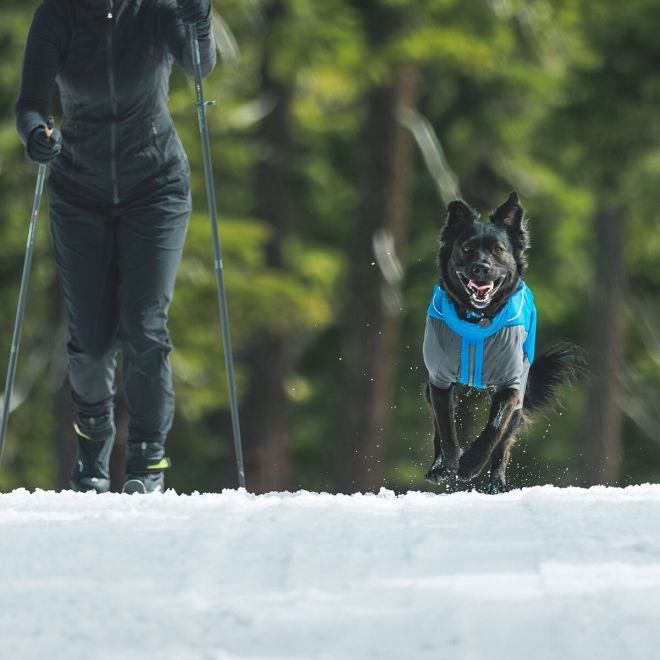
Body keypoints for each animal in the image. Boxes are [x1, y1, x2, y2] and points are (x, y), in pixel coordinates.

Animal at [422, 189, 576, 490]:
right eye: (466, 247)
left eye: (498, 250)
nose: (481, 268)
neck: (476, 320)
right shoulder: (439, 379)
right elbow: (444, 424)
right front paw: (450, 461)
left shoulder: (511, 384)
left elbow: (495, 429)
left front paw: (470, 464)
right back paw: (439, 467)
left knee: (504, 442)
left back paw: (497, 484)